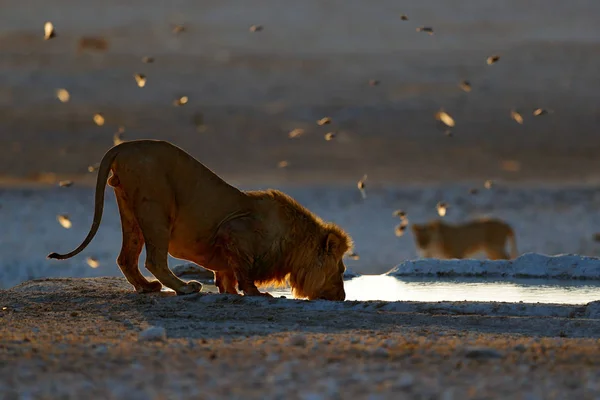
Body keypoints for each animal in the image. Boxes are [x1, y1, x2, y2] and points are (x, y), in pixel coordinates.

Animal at [50, 141, 356, 300]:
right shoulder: (234, 230)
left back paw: (147, 288)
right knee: (154, 260)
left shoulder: (227, 242)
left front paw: (228, 292)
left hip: (130, 211)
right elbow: (244, 272)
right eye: (341, 270)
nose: (342, 297)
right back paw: (185, 288)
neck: (294, 243)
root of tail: (124, 146)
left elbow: (227, 273)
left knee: (126, 258)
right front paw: (256, 294)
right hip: (156, 208)